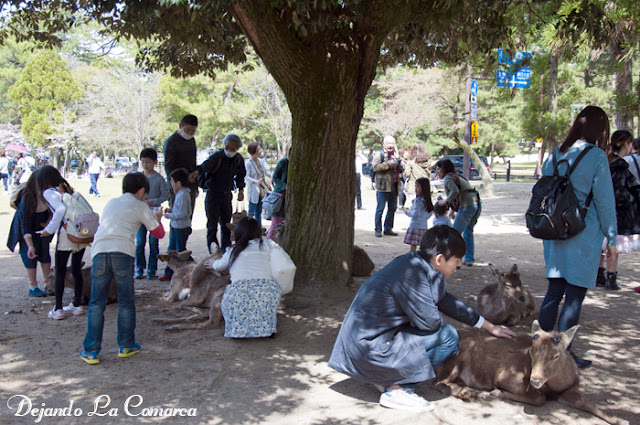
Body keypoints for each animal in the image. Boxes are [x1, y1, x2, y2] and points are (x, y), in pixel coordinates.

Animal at [436, 322, 632, 424]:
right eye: (531, 352)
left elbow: (591, 404)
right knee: (439, 383)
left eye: (556, 355)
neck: (555, 387)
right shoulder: (507, 377)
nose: (535, 380)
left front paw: (620, 420)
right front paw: (496, 392)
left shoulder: (570, 390)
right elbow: (539, 399)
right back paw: (467, 392)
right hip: (462, 353)